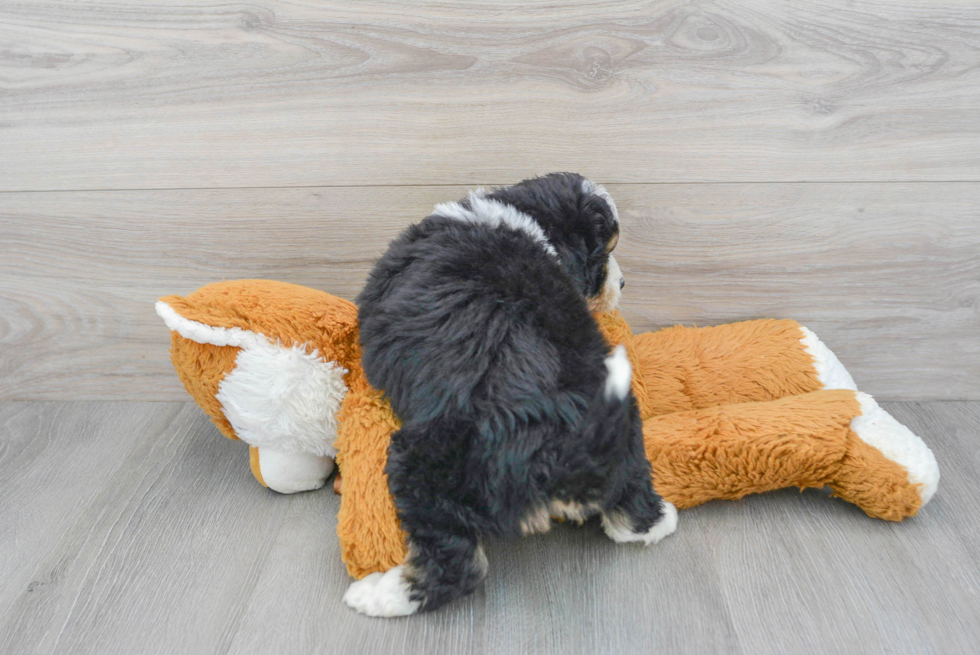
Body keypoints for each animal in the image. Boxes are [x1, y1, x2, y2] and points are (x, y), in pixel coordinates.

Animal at [348, 172, 676, 616]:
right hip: (628, 435)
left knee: (453, 565)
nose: (623, 283)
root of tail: (566, 444)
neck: (524, 216)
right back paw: (662, 519)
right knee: (632, 509)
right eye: (604, 255)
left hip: (425, 468)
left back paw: (377, 594)